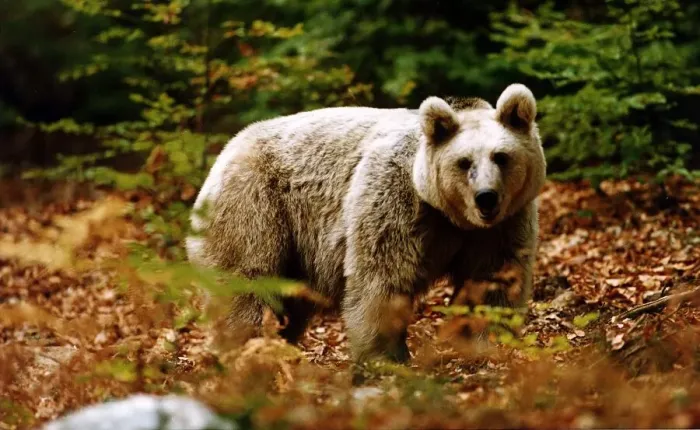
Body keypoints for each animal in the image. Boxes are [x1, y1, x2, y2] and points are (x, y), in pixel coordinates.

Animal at [186, 83, 546, 364]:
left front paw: (490, 343)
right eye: (464, 162)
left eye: (501, 157)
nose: (486, 198)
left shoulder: (503, 224)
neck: (451, 216)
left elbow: (493, 280)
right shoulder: (396, 199)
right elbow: (381, 279)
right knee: (247, 283)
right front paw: (385, 356)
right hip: (256, 206)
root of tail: (225, 152)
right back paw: (244, 347)